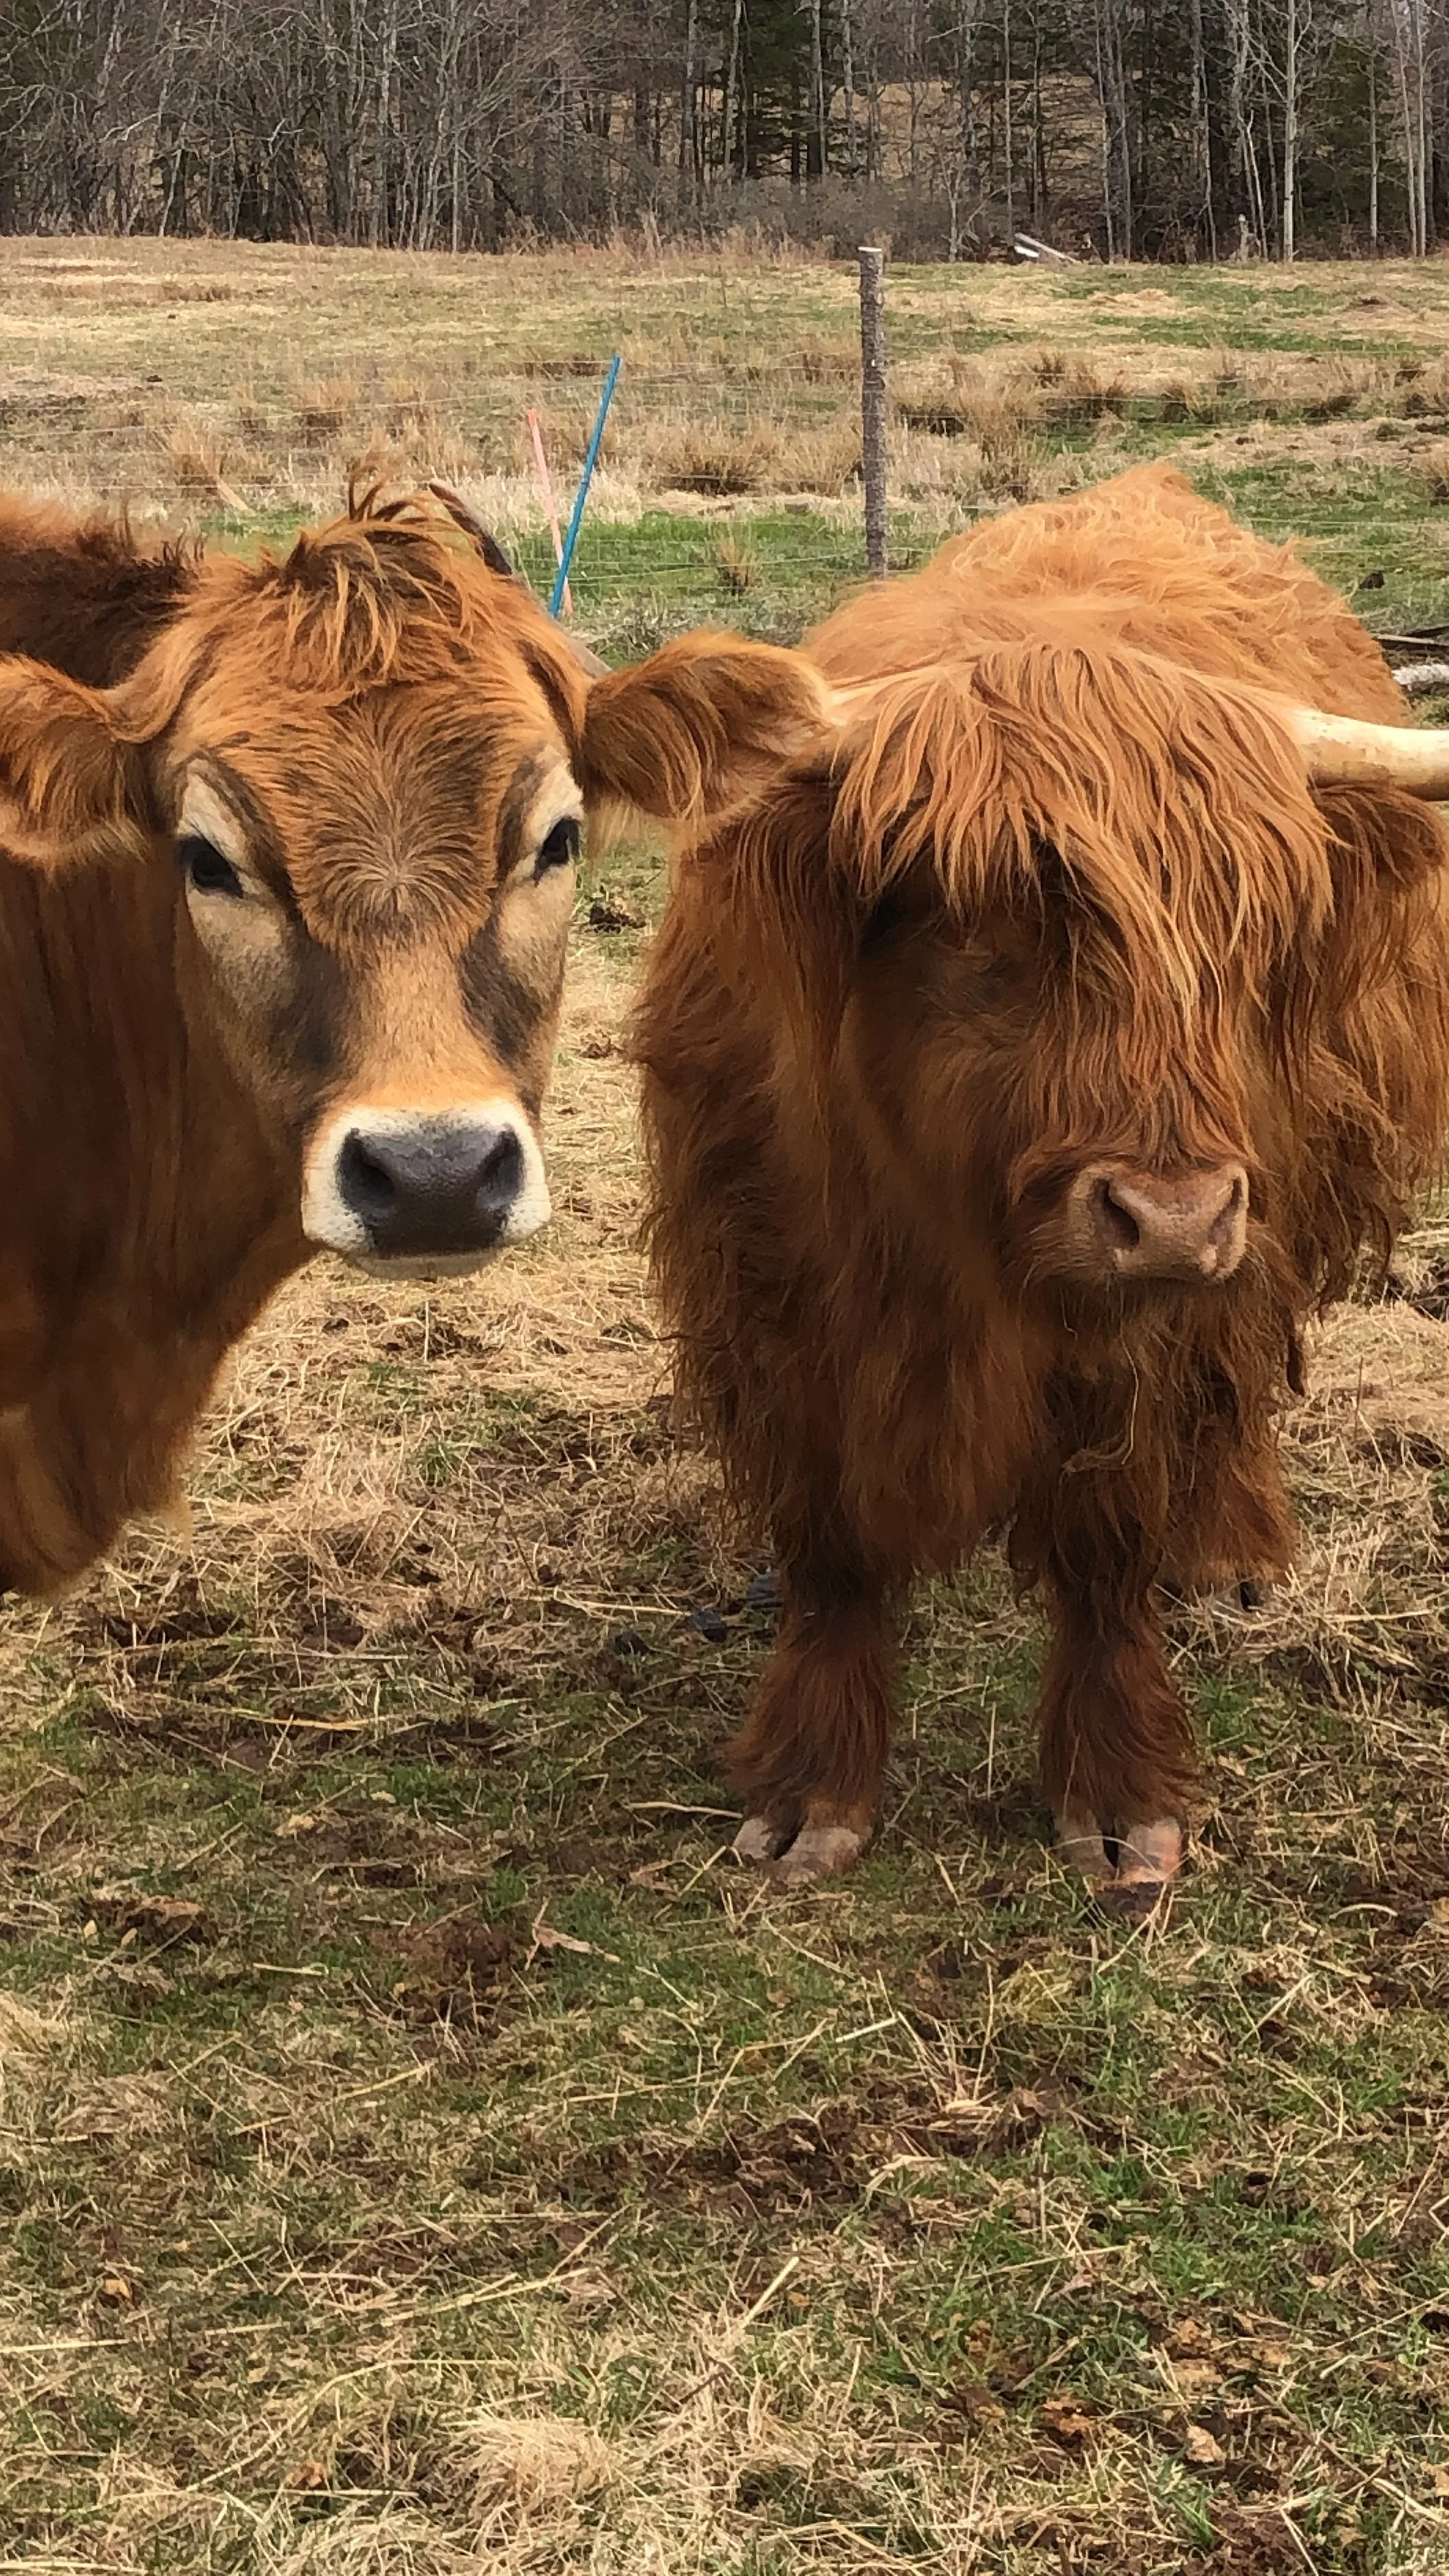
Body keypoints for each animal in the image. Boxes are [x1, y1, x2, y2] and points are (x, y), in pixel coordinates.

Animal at [635, 464, 1449, 1913]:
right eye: (977, 929)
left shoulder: (1154, 1329)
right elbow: (829, 1546)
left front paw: (1120, 1802)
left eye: (1249, 936)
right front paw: (812, 1792)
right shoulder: (766, 1294)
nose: (1171, 1217)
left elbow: (1111, 1547)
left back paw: (1231, 1551)